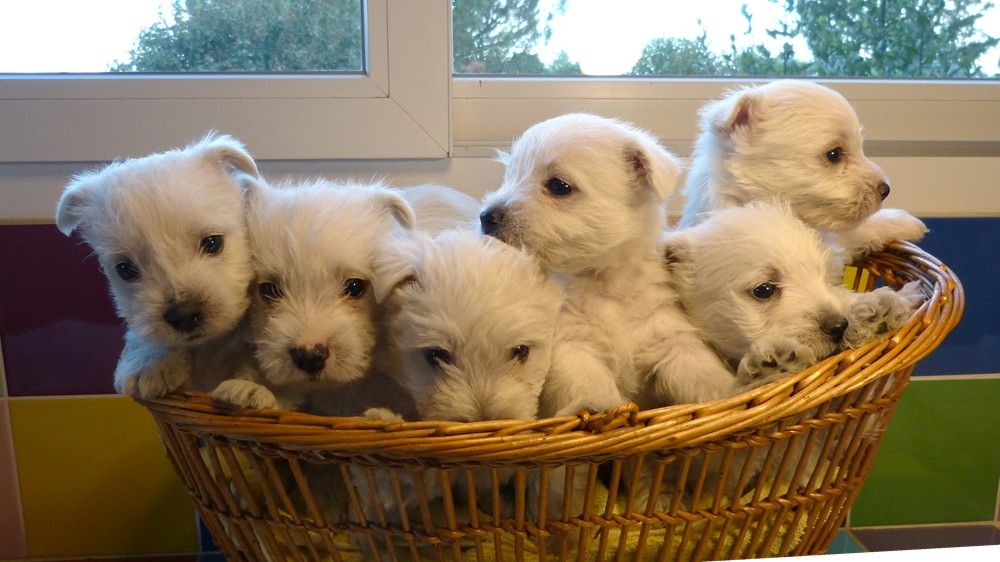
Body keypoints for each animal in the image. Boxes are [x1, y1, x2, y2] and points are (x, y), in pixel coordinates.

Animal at [55, 133, 260, 396]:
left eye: (213, 243)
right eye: (125, 269)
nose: (184, 316)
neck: (207, 345)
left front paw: (250, 387)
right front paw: (152, 363)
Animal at [480, 112, 740, 416]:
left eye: (559, 186)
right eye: (509, 175)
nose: (485, 216)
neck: (607, 281)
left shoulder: (671, 337)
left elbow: (698, 369)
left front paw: (728, 391)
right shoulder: (571, 344)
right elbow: (588, 382)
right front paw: (601, 406)